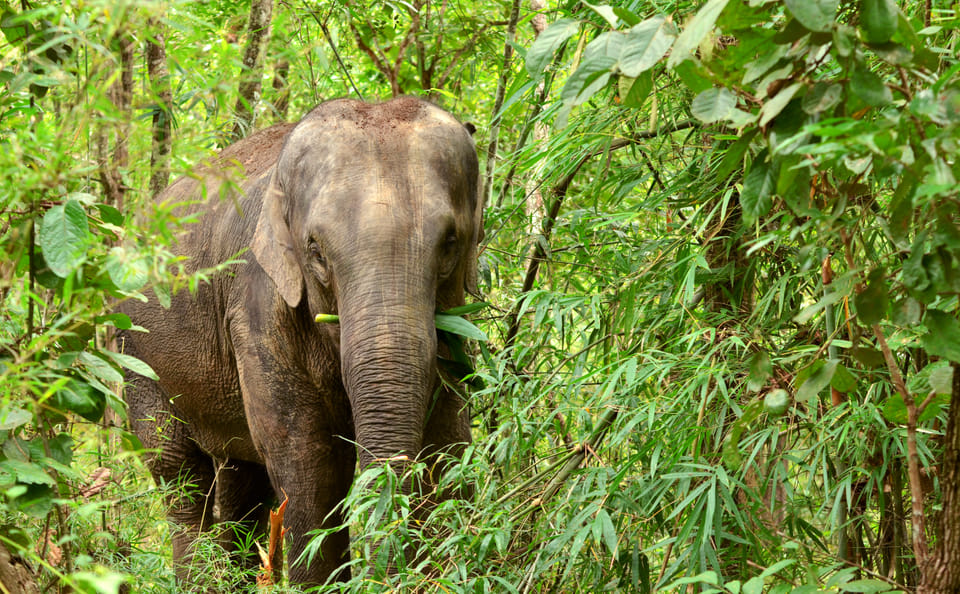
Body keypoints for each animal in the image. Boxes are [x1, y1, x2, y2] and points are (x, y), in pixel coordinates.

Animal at [116, 97, 481, 588]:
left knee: (242, 484)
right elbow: (307, 461)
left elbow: (448, 442)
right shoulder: (257, 312)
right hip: (136, 356)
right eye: (316, 250)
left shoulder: (451, 320)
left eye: (450, 242)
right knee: (179, 474)